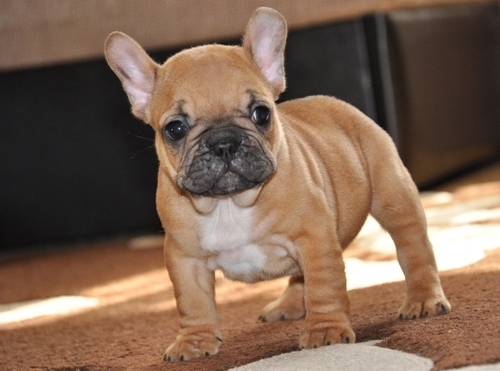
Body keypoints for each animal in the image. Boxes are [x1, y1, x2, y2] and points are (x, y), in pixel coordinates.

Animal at [104, 6, 450, 364]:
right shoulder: (185, 258)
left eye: (261, 113)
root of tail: (339, 105)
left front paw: (325, 330)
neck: (229, 203)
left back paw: (423, 299)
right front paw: (194, 341)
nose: (224, 142)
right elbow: (192, 301)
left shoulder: (314, 237)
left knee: (413, 248)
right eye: (175, 129)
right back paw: (289, 305)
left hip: (393, 195)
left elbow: (325, 286)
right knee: (300, 277)